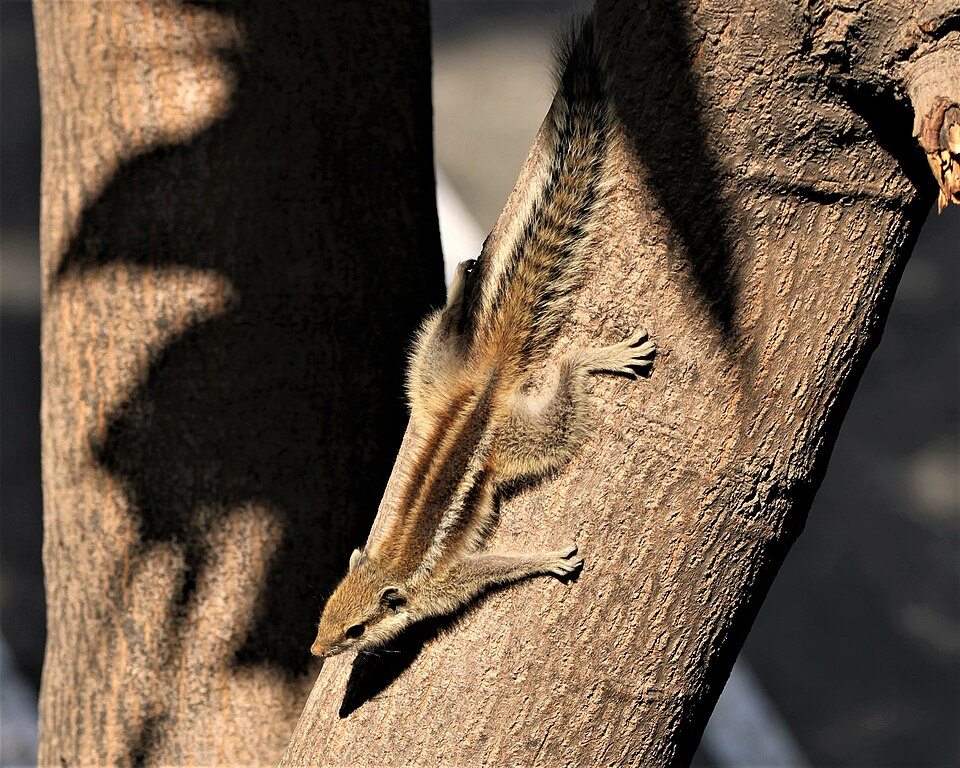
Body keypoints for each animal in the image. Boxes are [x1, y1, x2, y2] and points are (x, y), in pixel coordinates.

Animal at [311, 16, 655, 659]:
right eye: (323, 610)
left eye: (354, 630)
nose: (317, 652)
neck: (393, 571)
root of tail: (486, 381)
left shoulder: (447, 580)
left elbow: (492, 568)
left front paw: (543, 559)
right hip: (432, 376)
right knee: (442, 340)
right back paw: (458, 290)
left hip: (517, 442)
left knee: (564, 390)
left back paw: (597, 355)